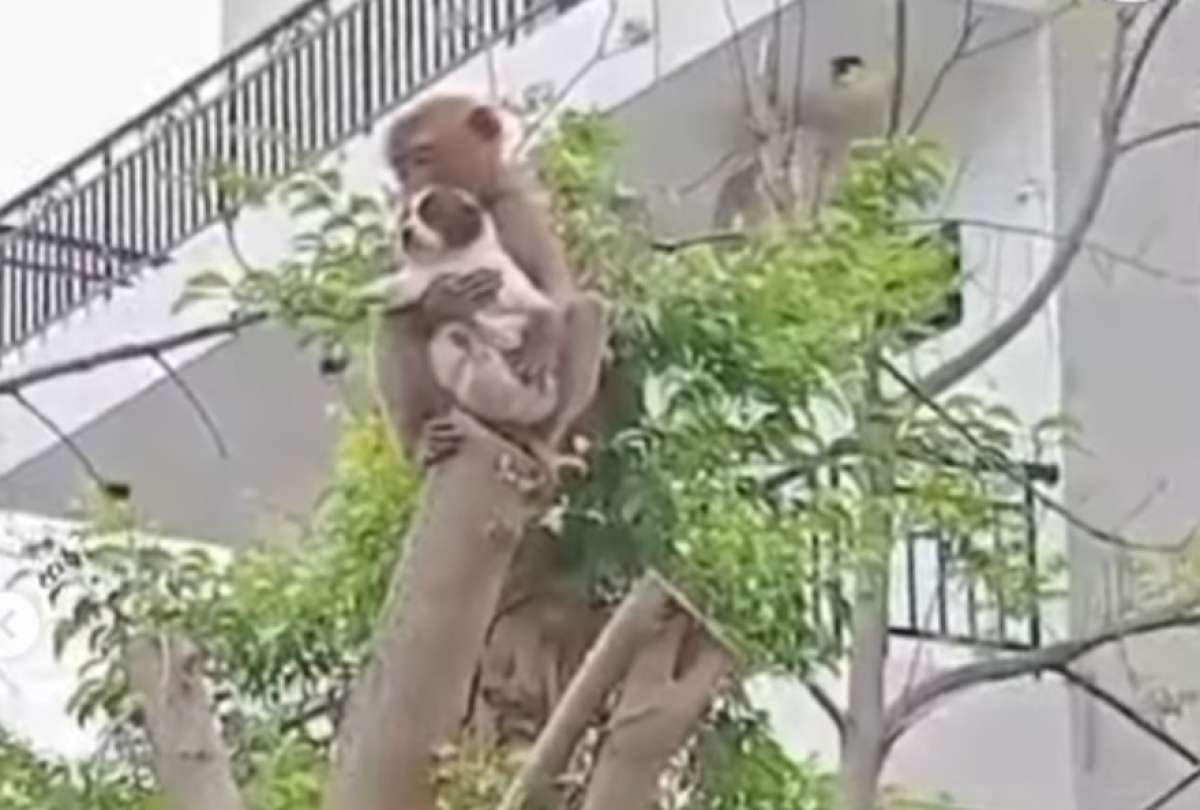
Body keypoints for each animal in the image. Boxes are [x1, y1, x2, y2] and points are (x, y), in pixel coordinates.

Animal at [375, 92, 606, 472]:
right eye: (400, 170)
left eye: (421, 158)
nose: (406, 192)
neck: (480, 198)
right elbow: (407, 303)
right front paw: (442, 300)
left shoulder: (516, 207)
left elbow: (555, 291)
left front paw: (542, 337)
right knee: (396, 322)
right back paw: (423, 441)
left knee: (588, 309)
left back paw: (539, 441)